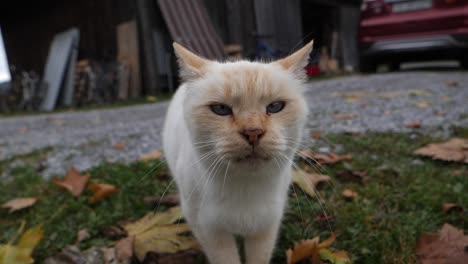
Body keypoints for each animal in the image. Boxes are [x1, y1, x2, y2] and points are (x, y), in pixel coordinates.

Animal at [163, 41, 312, 264]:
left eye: (275, 106)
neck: (245, 188)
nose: (253, 132)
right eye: (220, 109)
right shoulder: (210, 231)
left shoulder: (266, 227)